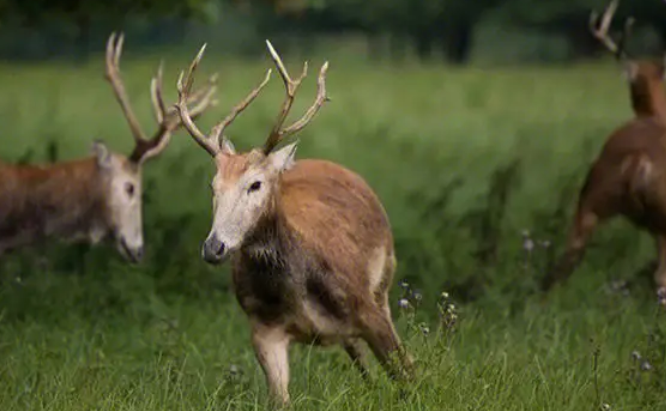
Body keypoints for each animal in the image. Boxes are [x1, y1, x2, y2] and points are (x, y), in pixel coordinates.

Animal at [175, 42, 416, 406]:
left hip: (384, 282)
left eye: (255, 184)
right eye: (213, 186)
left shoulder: (367, 307)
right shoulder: (262, 326)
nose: (214, 246)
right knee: (361, 359)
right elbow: (280, 399)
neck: (298, 290)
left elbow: (407, 374)